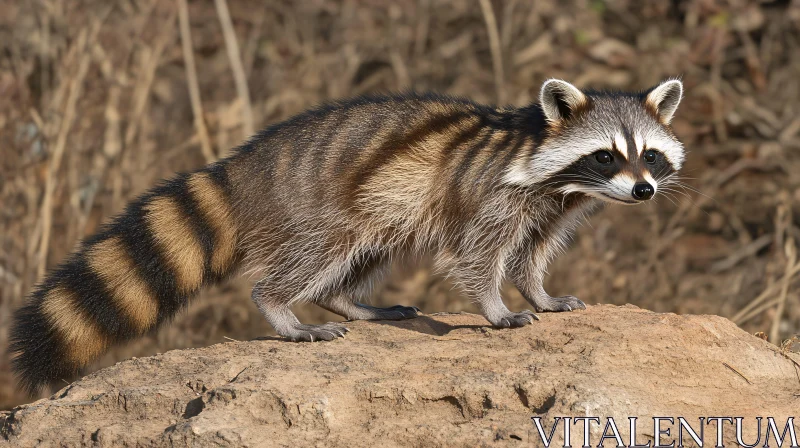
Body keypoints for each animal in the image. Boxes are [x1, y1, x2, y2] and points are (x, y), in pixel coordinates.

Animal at [9, 79, 684, 394]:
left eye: (649, 156)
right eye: (606, 155)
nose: (644, 191)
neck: (546, 159)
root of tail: (246, 163)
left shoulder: (553, 204)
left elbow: (532, 252)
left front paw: (540, 292)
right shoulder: (490, 188)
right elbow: (477, 253)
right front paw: (495, 307)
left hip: (376, 205)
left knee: (366, 252)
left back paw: (351, 301)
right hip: (317, 202)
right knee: (317, 254)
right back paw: (285, 310)